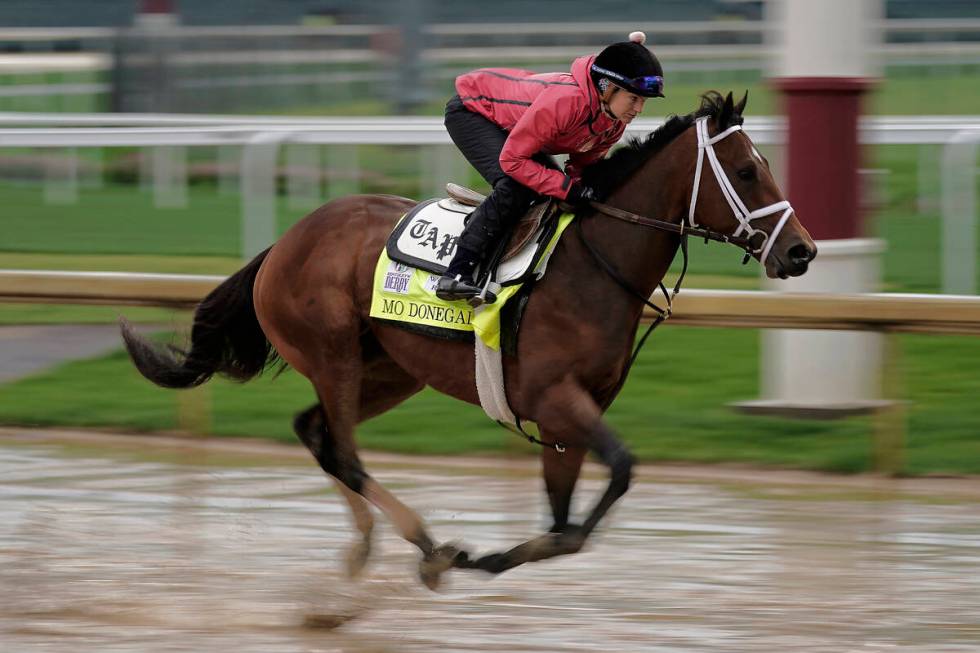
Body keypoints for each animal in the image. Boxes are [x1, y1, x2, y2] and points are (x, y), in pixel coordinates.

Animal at [120, 90, 812, 584]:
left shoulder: (570, 412)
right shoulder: (558, 397)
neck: (592, 265)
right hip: (333, 354)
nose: (801, 252)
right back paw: (420, 549)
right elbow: (619, 471)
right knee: (343, 451)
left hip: (391, 371)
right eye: (747, 171)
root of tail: (284, 243)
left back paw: (393, 549)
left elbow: (567, 522)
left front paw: (499, 556)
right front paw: (482, 558)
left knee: (316, 433)